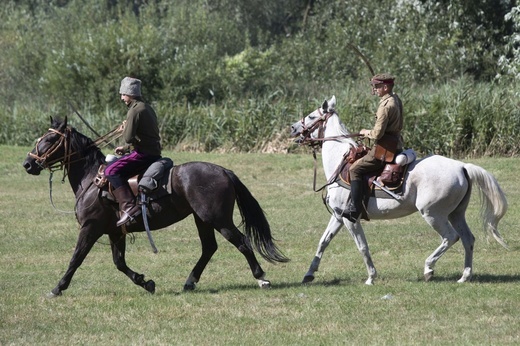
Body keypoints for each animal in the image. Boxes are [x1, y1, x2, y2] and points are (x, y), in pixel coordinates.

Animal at [22, 117, 288, 296]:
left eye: (50, 139)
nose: (27, 164)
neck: (92, 179)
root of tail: (224, 171)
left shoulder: (90, 228)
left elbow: (76, 258)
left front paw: (58, 288)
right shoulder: (115, 232)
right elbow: (119, 263)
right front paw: (146, 282)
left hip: (218, 219)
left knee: (241, 242)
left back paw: (262, 278)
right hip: (202, 219)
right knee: (209, 248)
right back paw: (190, 281)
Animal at [292, 95, 508, 284]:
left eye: (311, 116)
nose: (293, 128)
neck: (341, 162)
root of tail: (462, 167)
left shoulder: (350, 219)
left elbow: (362, 247)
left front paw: (371, 277)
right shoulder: (338, 216)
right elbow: (323, 241)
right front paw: (309, 274)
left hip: (433, 214)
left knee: (450, 237)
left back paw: (428, 269)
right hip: (456, 213)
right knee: (467, 239)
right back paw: (464, 276)